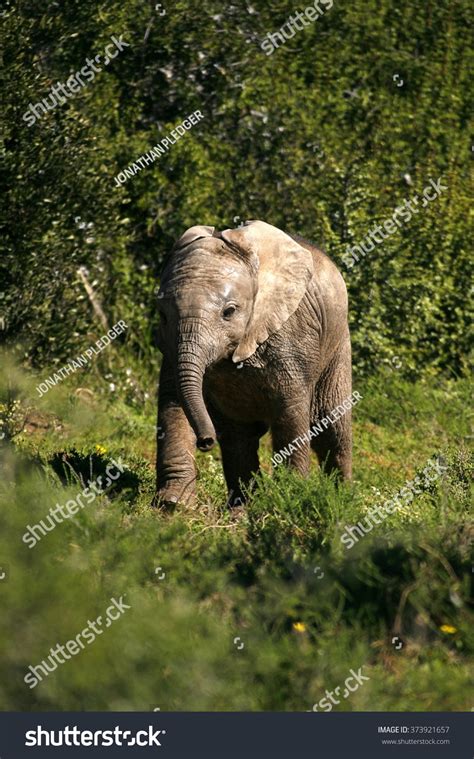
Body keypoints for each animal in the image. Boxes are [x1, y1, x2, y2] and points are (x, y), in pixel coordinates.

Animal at [156, 217, 352, 508]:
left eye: (229, 312)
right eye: (163, 316)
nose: (205, 441)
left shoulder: (291, 335)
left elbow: (291, 411)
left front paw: (291, 498)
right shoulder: (170, 346)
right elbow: (173, 402)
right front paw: (173, 504)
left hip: (339, 345)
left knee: (332, 428)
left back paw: (342, 500)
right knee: (240, 439)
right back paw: (241, 510)